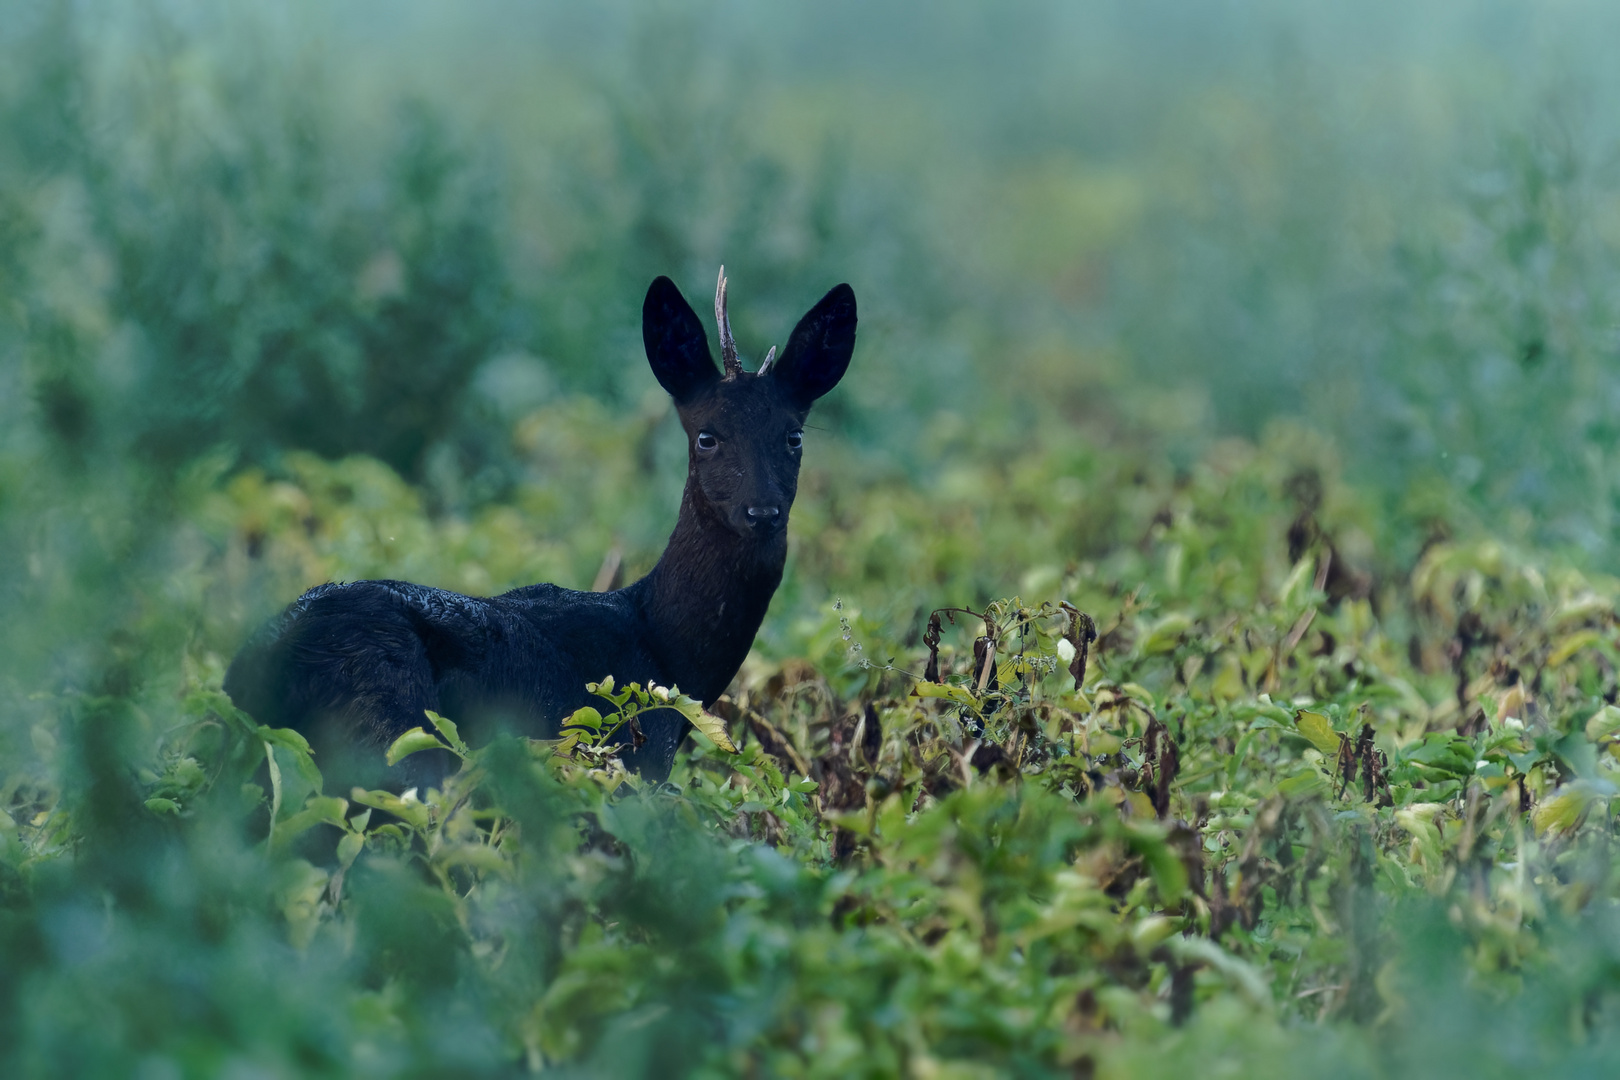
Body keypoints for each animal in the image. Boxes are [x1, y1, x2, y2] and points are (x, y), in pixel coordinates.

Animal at [231, 275, 861, 790]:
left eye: (793, 436)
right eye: (707, 436)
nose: (763, 511)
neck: (665, 649)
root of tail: (266, 668)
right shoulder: (636, 754)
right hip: (396, 735)